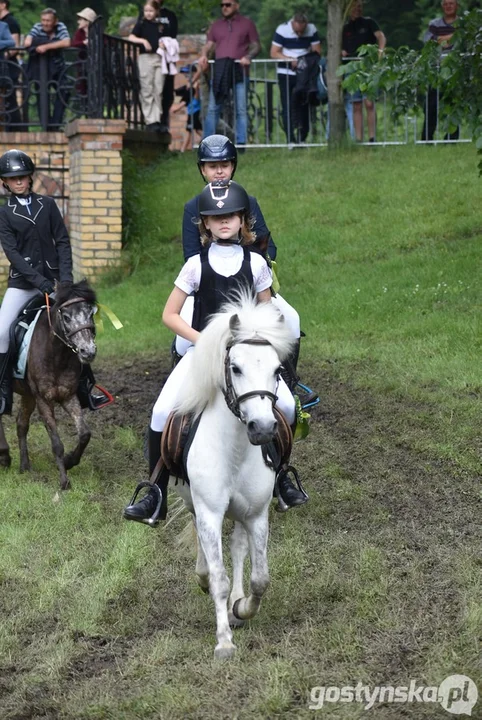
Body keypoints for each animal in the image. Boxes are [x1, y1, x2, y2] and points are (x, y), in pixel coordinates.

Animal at [0, 280, 98, 490]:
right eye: (66, 317)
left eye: (90, 313)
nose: (88, 352)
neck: (56, 355)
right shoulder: (44, 400)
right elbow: (56, 443)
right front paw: (64, 482)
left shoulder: (68, 396)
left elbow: (84, 434)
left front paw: (69, 461)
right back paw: (4, 456)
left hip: (28, 395)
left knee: (21, 424)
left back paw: (24, 466)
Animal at [171, 292, 296, 660]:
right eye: (235, 367)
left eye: (277, 369)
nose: (263, 428)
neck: (236, 451)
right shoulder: (210, 511)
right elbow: (218, 576)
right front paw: (224, 641)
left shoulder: (256, 514)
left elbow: (260, 578)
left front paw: (241, 609)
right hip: (195, 503)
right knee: (203, 545)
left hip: (240, 512)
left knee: (238, 547)